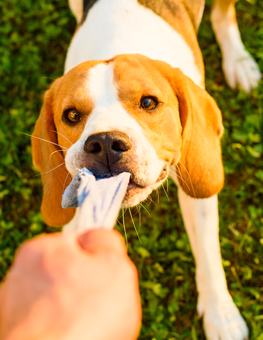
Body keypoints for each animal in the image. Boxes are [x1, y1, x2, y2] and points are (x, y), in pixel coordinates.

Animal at [32, 1, 260, 338]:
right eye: (71, 115)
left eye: (149, 102)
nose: (105, 142)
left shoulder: (197, 185)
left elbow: (208, 256)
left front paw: (221, 316)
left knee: (223, 15)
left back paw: (238, 60)